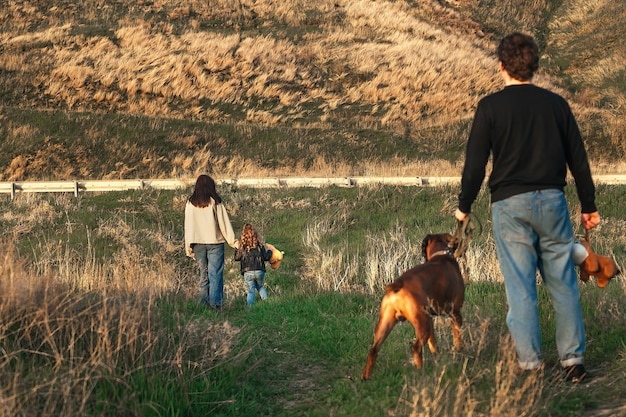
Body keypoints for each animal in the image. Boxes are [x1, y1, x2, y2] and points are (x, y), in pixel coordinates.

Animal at [360, 234, 464, 380]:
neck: (441, 255)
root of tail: (398, 284)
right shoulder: (455, 313)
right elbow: (458, 337)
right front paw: (460, 352)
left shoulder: (430, 320)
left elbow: (433, 343)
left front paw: (437, 357)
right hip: (422, 325)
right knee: (416, 348)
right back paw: (421, 371)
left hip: (386, 324)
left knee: (373, 349)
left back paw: (366, 378)